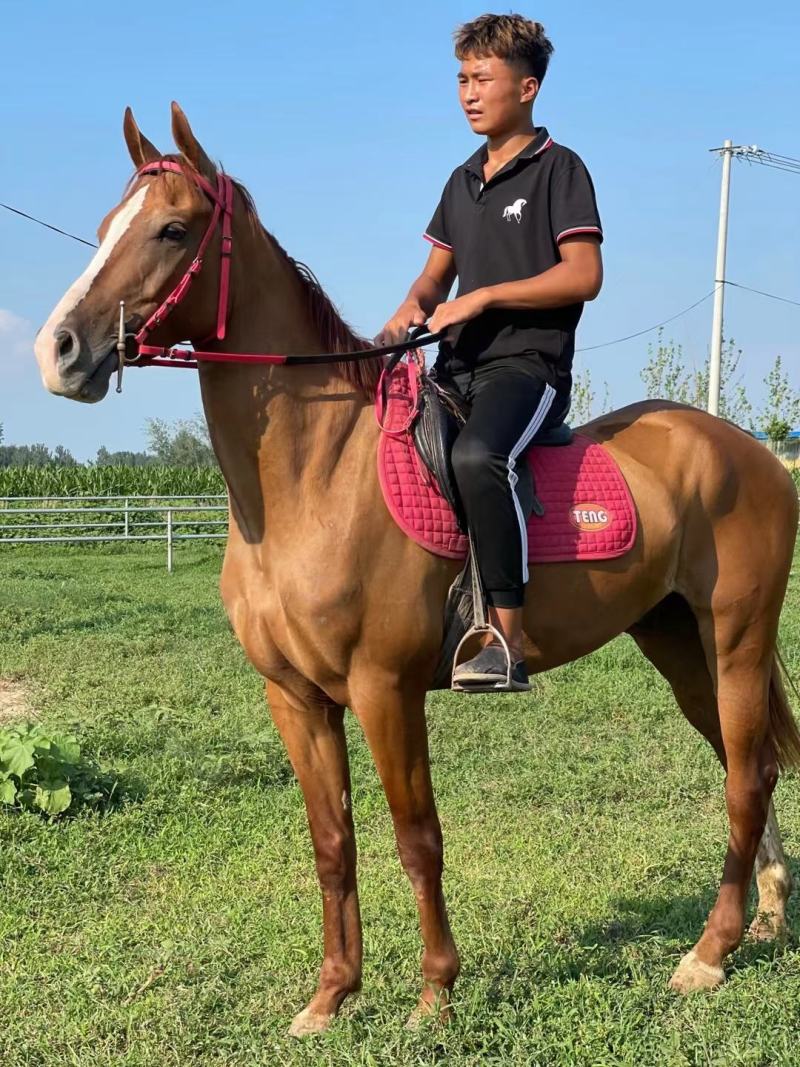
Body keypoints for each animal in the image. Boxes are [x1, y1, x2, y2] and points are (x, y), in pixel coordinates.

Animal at [34, 103, 800, 1036]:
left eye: (172, 230)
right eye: (107, 227)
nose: (59, 350)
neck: (315, 478)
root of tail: (752, 453)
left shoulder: (384, 687)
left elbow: (416, 835)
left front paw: (436, 991)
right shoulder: (295, 698)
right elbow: (333, 841)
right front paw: (330, 995)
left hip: (736, 639)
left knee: (747, 773)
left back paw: (708, 953)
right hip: (679, 643)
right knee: (746, 765)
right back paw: (764, 915)